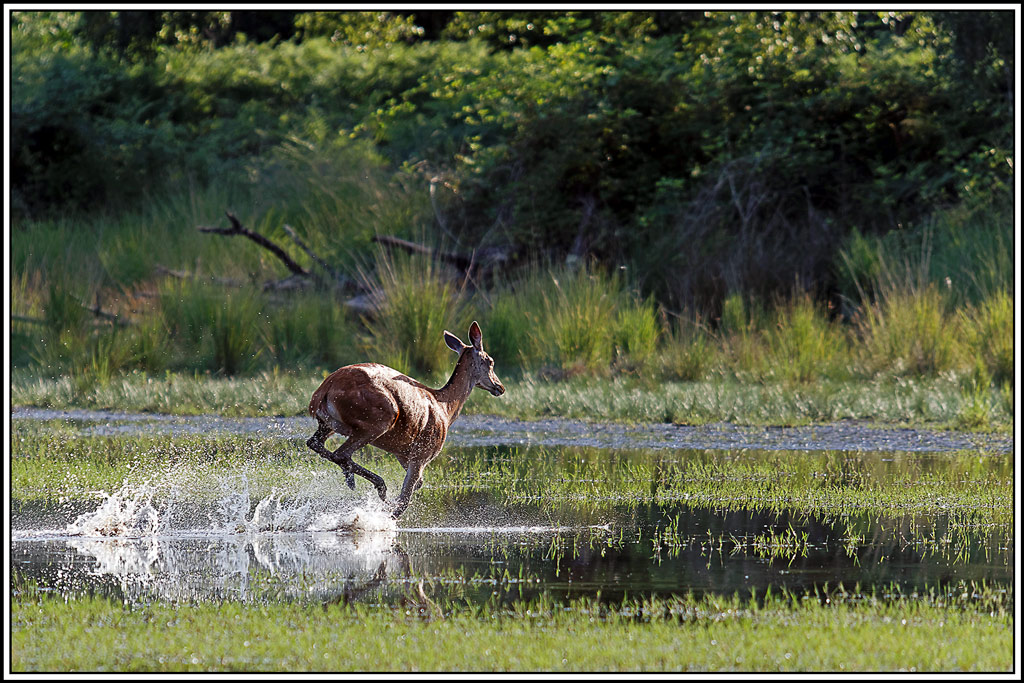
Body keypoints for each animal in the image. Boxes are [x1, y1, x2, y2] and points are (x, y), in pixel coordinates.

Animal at [306, 321, 505, 519]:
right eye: (490, 361)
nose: (500, 387)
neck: (446, 410)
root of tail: (322, 392)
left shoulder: (402, 453)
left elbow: (418, 485)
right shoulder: (422, 453)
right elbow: (405, 500)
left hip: (329, 423)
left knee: (314, 443)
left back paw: (353, 480)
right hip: (378, 419)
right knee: (341, 453)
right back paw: (378, 487)